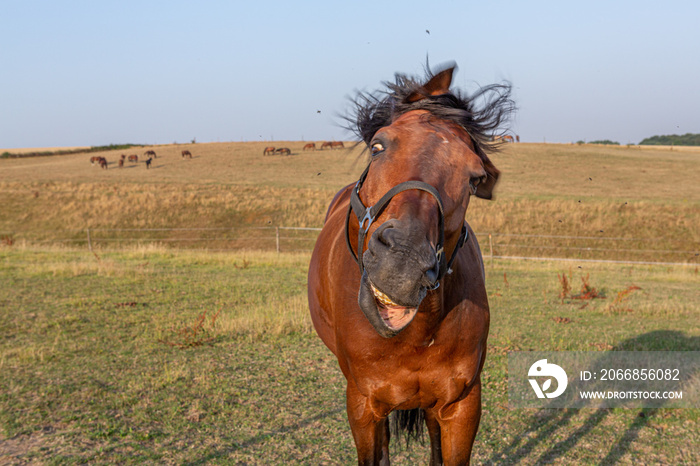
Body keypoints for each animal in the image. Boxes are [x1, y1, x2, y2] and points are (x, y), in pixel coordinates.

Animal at [308, 63, 512, 464]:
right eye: (378, 146)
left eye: (475, 178)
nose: (401, 264)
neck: (413, 335)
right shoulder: (363, 404)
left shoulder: (461, 405)